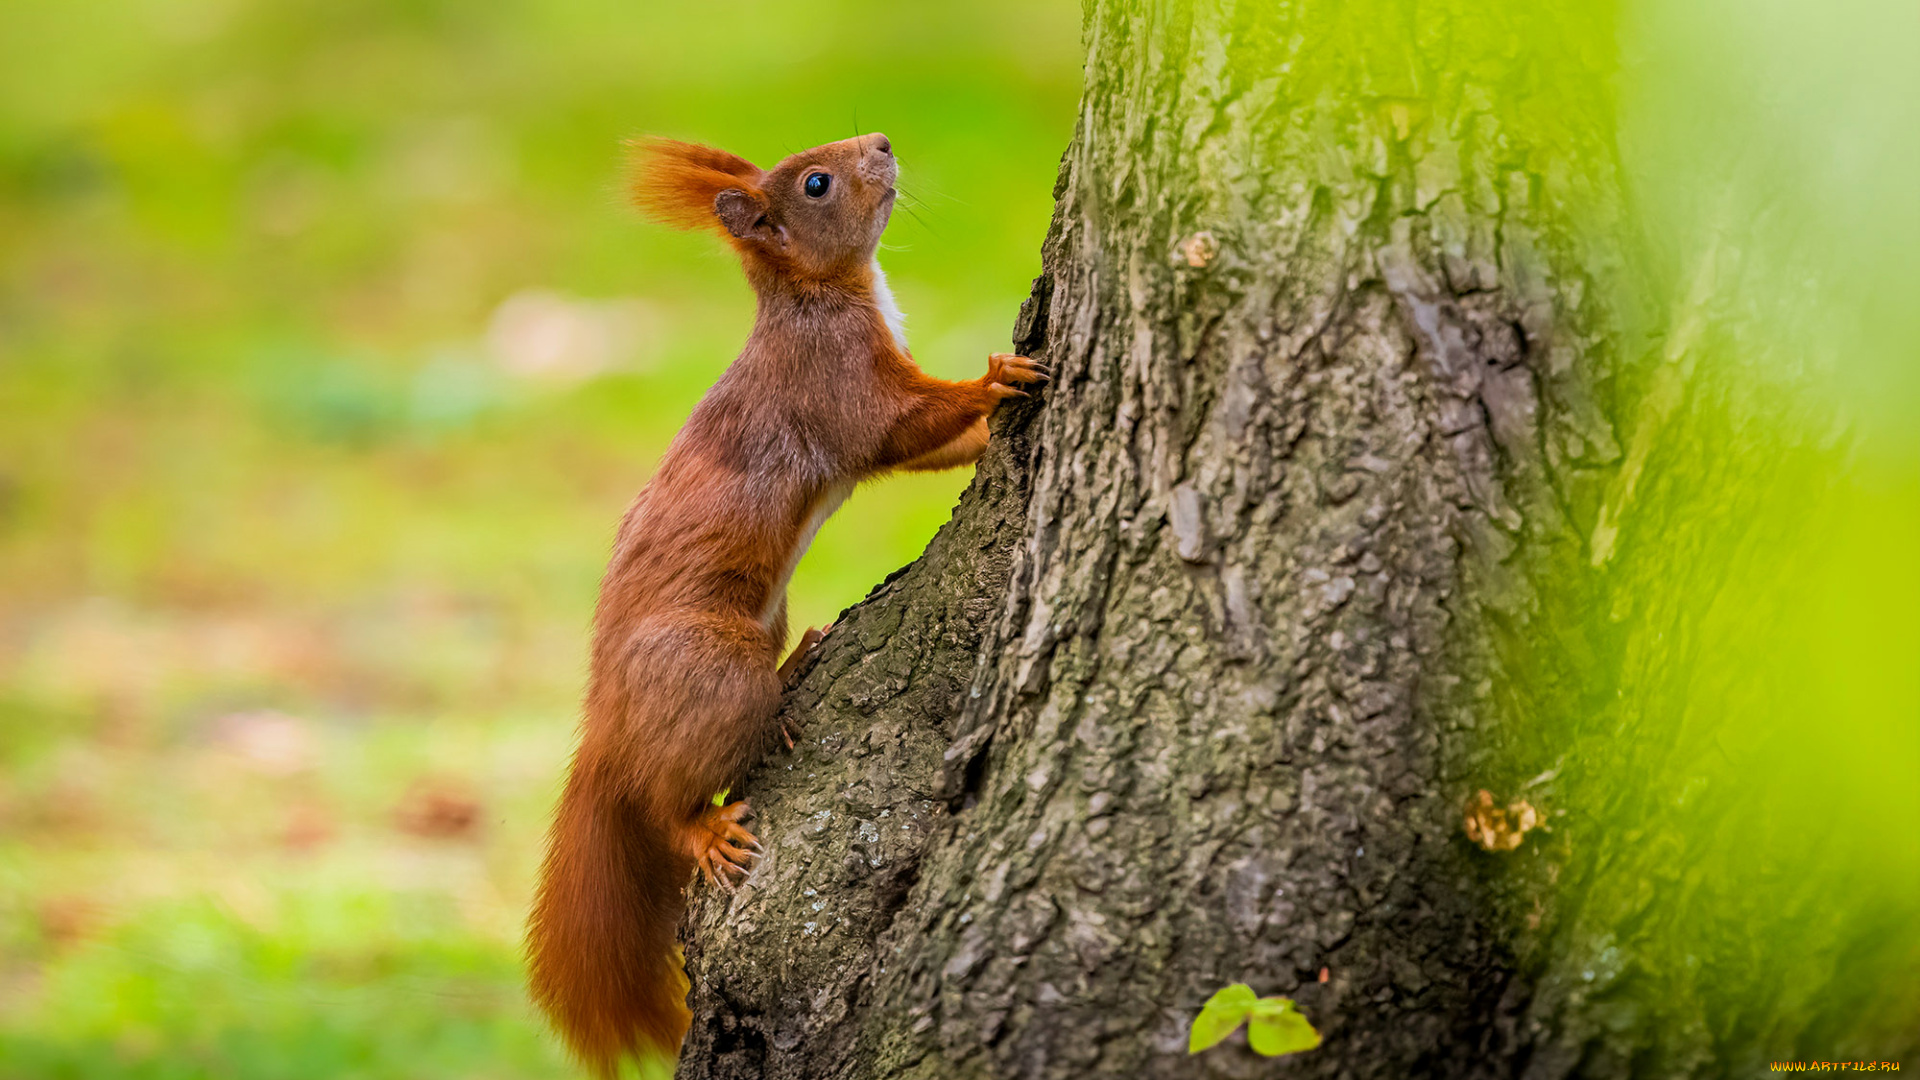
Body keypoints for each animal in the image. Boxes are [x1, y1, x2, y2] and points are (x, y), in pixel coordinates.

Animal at [522, 132, 1036, 1068]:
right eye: (818, 182)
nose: (883, 142)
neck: (822, 297)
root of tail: (608, 721)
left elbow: (929, 451)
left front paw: (985, 435)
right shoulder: (835, 389)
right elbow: (898, 429)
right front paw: (992, 382)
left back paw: (802, 659)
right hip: (711, 673)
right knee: (662, 800)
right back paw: (701, 824)